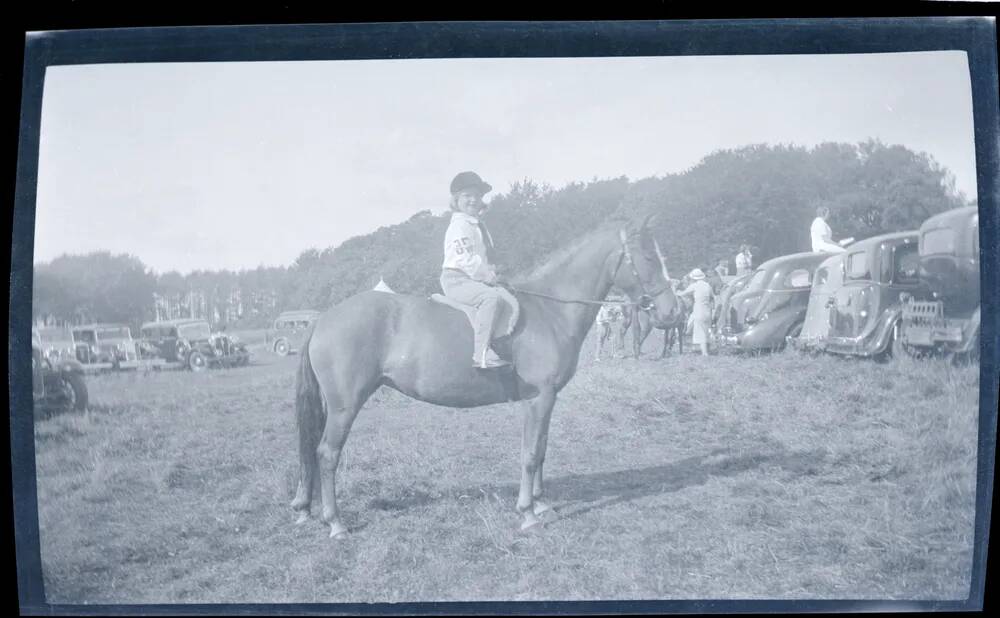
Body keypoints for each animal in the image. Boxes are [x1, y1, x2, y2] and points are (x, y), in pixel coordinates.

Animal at [290, 215, 680, 536]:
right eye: (648, 258)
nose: (671, 311)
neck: (549, 310)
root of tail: (323, 318)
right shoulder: (539, 398)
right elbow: (530, 454)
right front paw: (528, 513)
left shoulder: (548, 400)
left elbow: (541, 449)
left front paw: (542, 504)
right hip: (345, 406)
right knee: (327, 453)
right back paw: (335, 523)